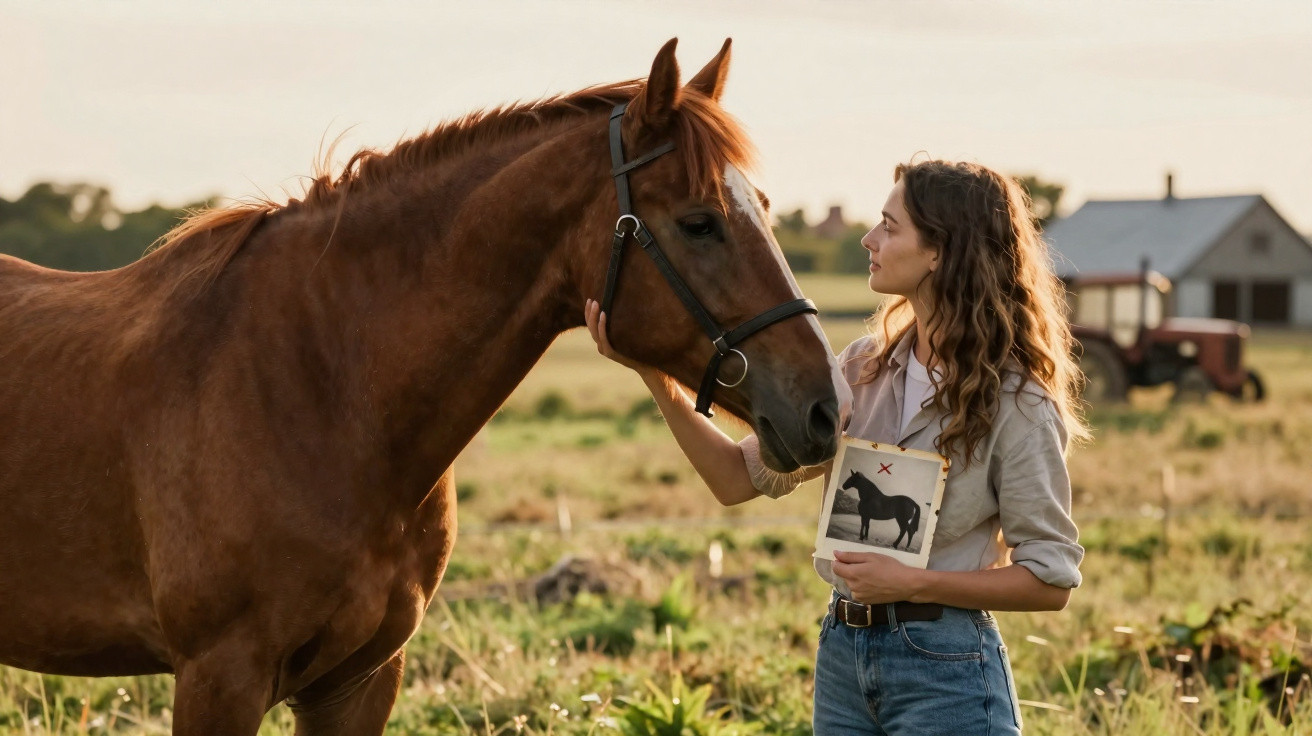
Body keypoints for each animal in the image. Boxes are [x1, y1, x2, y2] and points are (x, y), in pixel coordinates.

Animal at [0, 39, 848, 735]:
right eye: (701, 222)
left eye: (765, 209)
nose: (823, 408)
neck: (320, 388)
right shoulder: (219, 678)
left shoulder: (359, 682)